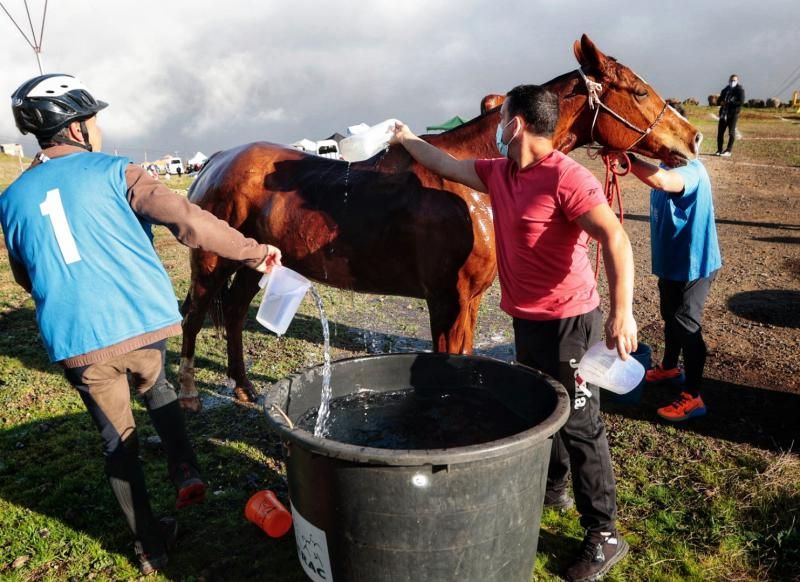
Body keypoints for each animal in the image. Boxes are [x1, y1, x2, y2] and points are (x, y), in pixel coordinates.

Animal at [177, 34, 702, 410]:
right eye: (638, 90)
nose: (693, 138)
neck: (468, 186)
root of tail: (217, 161)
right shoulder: (446, 300)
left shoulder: (468, 301)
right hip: (212, 263)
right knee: (194, 316)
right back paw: (188, 395)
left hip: (252, 261)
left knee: (235, 314)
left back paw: (244, 388)